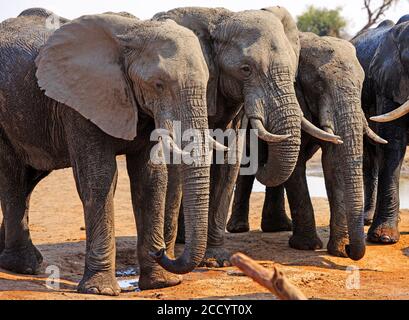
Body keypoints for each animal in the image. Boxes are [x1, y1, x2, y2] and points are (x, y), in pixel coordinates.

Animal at [0, 8, 214, 296]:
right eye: (158, 84)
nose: (161, 251)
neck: (133, 33)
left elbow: (150, 179)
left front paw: (160, 283)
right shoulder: (79, 104)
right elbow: (99, 179)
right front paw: (99, 290)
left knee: (28, 180)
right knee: (12, 177)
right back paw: (24, 266)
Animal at [228, 31, 388, 260]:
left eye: (361, 85)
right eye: (319, 84)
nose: (351, 250)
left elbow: (334, 163)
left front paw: (339, 250)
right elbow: (297, 165)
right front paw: (307, 246)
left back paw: (278, 227)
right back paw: (239, 228)